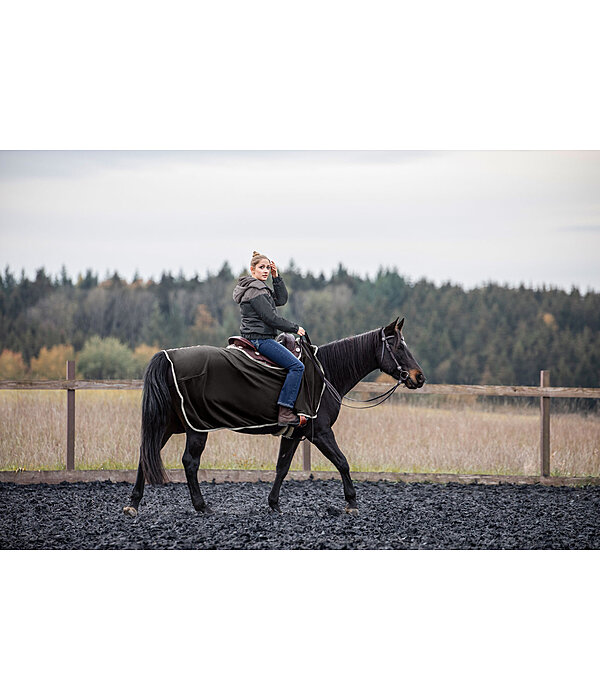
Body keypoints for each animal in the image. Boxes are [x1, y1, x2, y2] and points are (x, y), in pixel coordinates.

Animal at [124, 316, 426, 516]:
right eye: (399, 347)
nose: (419, 377)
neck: (324, 373)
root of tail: (168, 356)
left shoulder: (295, 434)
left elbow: (282, 467)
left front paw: (273, 503)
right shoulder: (321, 432)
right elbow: (342, 462)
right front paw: (351, 502)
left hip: (168, 424)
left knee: (145, 454)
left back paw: (133, 504)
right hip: (196, 428)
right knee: (189, 462)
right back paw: (201, 506)